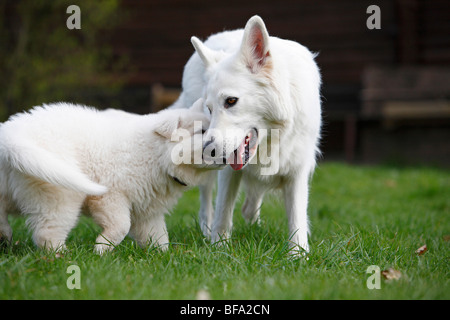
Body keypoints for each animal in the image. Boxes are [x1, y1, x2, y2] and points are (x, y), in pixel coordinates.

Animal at [0, 100, 211, 252]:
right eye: (201, 130)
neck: (154, 153)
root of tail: (11, 138)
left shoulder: (146, 210)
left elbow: (157, 235)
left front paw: (162, 256)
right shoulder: (111, 197)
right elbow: (121, 225)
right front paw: (102, 248)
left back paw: (5, 238)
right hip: (59, 196)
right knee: (47, 233)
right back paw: (62, 256)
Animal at [171, 16, 322, 254]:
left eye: (231, 101)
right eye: (209, 109)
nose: (208, 151)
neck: (272, 138)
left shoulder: (297, 168)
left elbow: (297, 217)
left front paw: (298, 255)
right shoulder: (228, 170)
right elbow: (223, 211)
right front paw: (218, 248)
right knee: (207, 199)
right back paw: (206, 229)